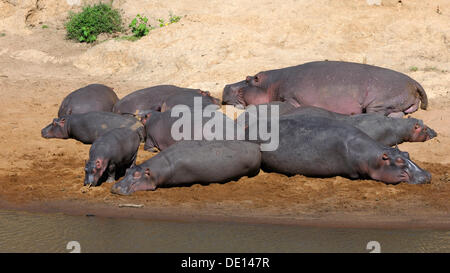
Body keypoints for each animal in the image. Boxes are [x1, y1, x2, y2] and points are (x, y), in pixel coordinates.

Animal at [223, 60, 428, 117]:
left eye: (248, 79)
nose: (226, 85)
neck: (270, 85)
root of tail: (414, 82)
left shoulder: (290, 98)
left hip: (378, 102)